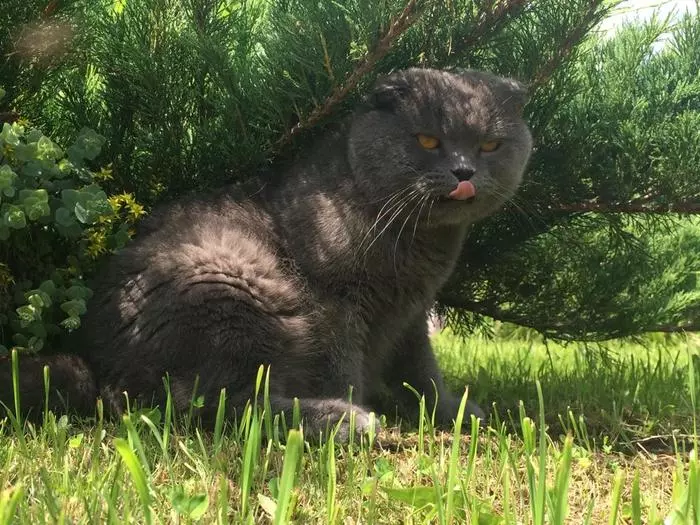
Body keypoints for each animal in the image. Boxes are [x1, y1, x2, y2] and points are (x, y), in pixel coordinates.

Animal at [0, 67, 532, 440]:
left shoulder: (411, 312)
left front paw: (459, 416)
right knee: (212, 404)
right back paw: (344, 422)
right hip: (231, 286)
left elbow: (424, 373)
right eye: (427, 139)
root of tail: (99, 364)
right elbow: (344, 367)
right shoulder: (338, 302)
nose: (463, 171)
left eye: (490, 145)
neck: (416, 240)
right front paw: (361, 407)